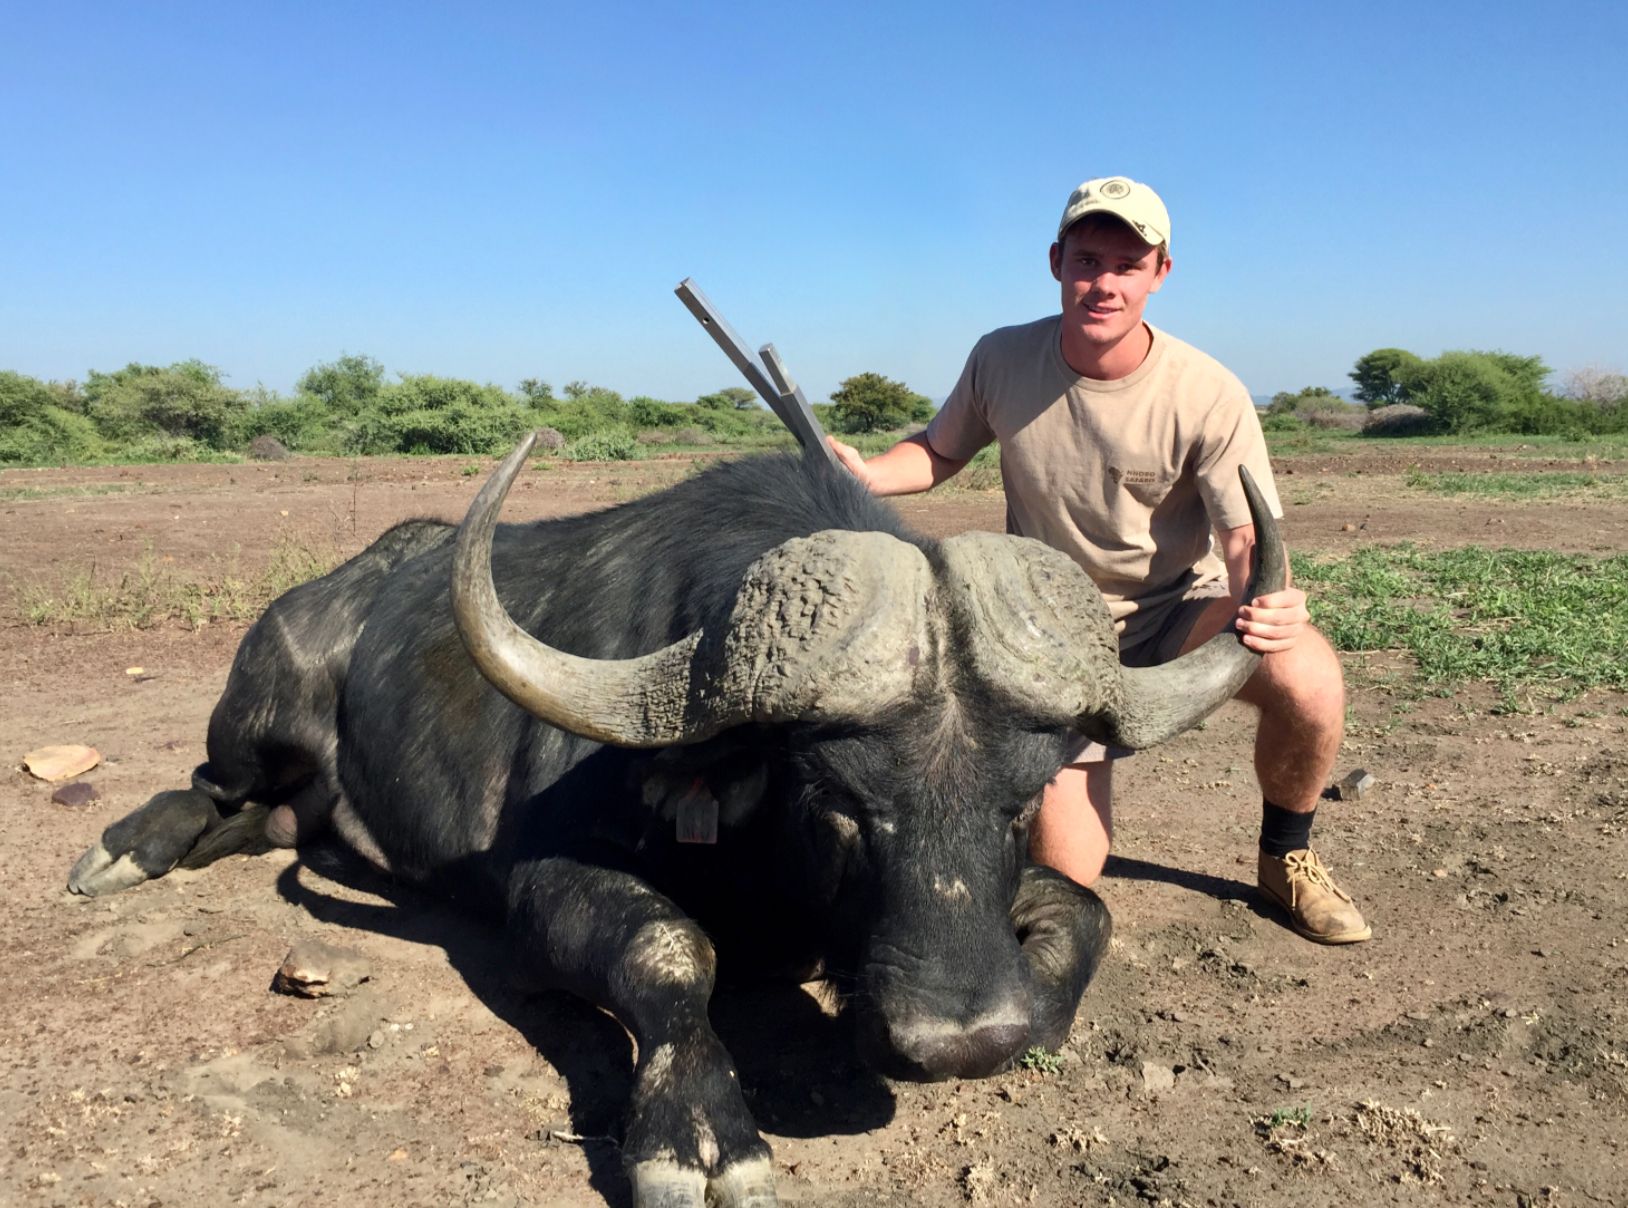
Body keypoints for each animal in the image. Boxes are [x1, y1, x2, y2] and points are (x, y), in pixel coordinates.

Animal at [68, 432, 1284, 1207]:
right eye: (837, 801)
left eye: (1023, 795)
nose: (960, 1040)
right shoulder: (541, 881)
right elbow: (665, 947)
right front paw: (697, 1139)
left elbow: (1087, 912)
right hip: (262, 701)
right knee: (214, 782)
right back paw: (127, 846)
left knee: (268, 821)